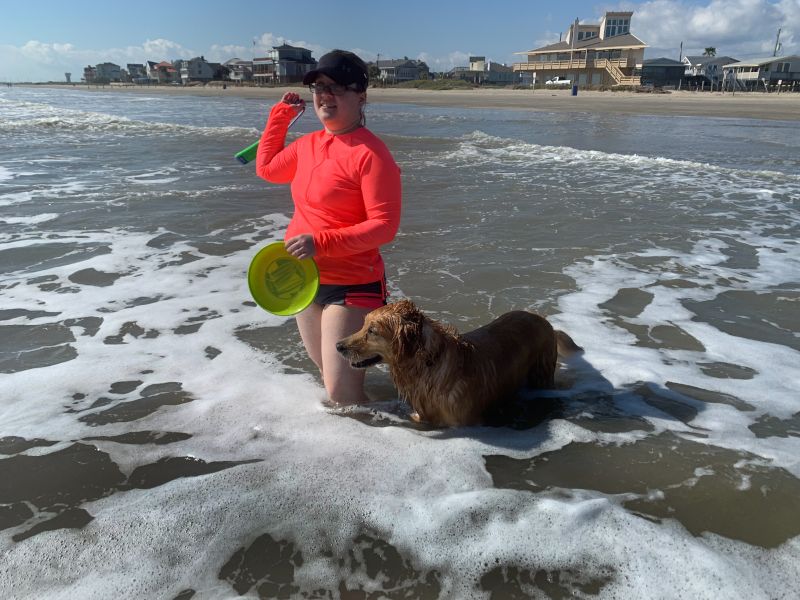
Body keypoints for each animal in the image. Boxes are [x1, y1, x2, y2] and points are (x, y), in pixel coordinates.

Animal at [334, 300, 580, 426]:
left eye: (372, 331)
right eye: (362, 325)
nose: (338, 345)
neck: (427, 366)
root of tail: (544, 319)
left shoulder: (463, 421)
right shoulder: (421, 415)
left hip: (542, 374)